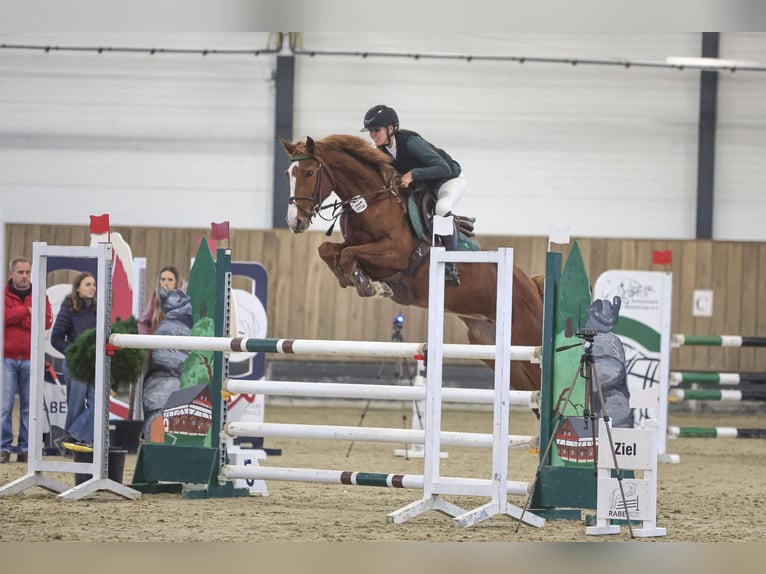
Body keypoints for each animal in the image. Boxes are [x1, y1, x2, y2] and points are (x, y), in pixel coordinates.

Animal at [279, 134, 544, 392]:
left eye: (309, 172)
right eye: (287, 174)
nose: (294, 221)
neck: (372, 202)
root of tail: (532, 285)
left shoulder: (394, 255)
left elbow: (348, 255)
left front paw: (369, 285)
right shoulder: (353, 245)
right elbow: (328, 250)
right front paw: (354, 278)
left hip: (526, 336)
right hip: (495, 349)